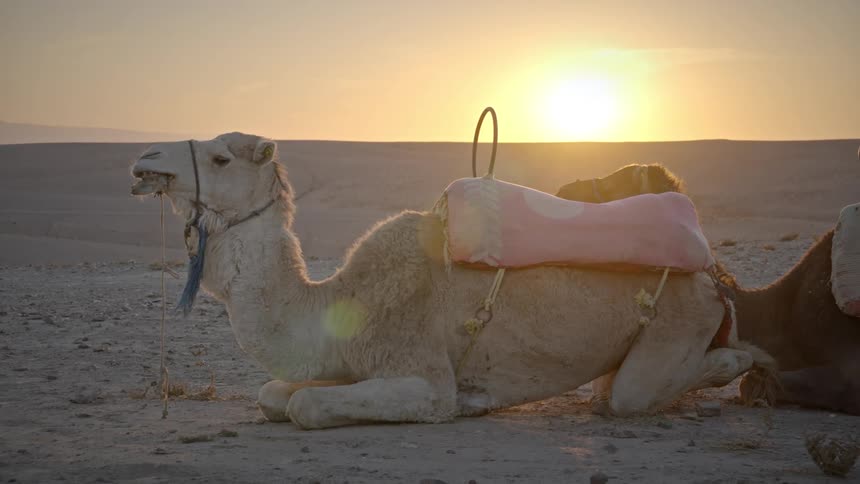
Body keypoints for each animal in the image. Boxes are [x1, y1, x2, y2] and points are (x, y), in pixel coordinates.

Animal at [129, 133, 774, 429]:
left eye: (221, 158)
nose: (145, 161)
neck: (336, 305)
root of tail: (712, 272)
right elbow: (272, 395)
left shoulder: (421, 372)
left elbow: (306, 405)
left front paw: (470, 402)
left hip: (679, 315)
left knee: (630, 394)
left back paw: (746, 363)